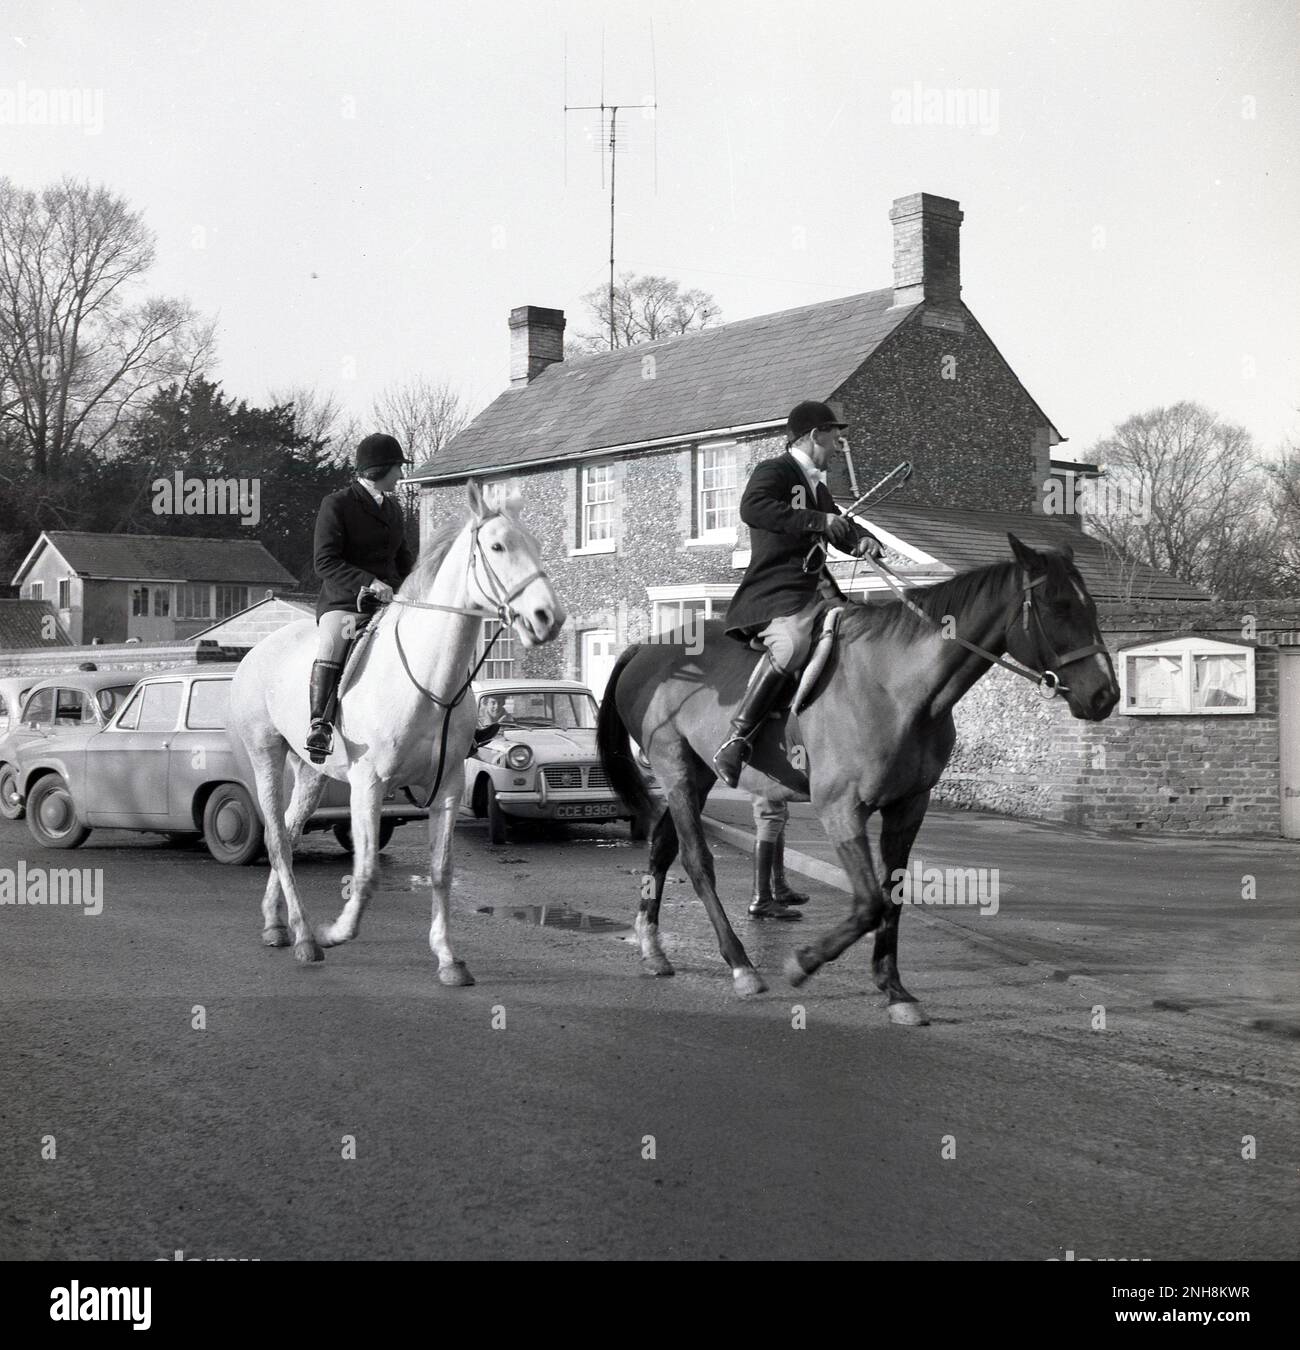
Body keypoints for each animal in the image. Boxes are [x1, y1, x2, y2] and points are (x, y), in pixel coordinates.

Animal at [229, 483, 564, 982]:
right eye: (497, 547)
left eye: (538, 546)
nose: (548, 617)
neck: (429, 682)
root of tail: (257, 649)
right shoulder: (369, 785)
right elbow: (367, 873)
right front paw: (335, 931)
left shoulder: (448, 786)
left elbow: (442, 869)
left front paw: (447, 958)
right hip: (265, 753)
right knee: (276, 840)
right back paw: (307, 937)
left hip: (313, 772)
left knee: (288, 833)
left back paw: (277, 923)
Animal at [599, 531, 1117, 1015]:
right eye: (1059, 606)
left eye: (1092, 605)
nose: (1105, 696)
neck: (899, 687)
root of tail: (645, 648)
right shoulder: (841, 808)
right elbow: (869, 903)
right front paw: (803, 962)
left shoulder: (909, 806)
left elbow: (893, 895)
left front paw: (894, 989)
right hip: (677, 771)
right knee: (696, 860)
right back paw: (741, 964)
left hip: (698, 776)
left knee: (663, 847)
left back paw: (653, 948)